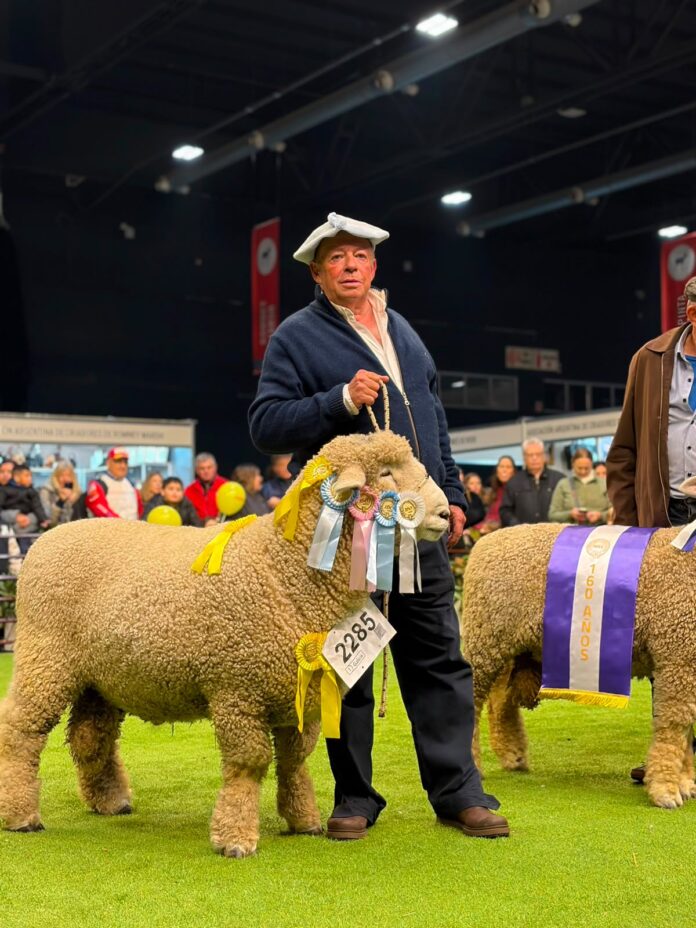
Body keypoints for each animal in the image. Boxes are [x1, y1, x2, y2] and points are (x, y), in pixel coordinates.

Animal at [0, 430, 449, 857]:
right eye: (386, 472)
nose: (446, 513)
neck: (283, 567)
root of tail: (45, 539)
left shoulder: (297, 688)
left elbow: (295, 759)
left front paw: (303, 820)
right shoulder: (237, 688)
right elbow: (250, 762)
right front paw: (235, 837)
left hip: (101, 677)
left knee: (90, 736)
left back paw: (111, 801)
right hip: (45, 656)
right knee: (20, 729)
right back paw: (20, 814)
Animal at [460, 522, 696, 810]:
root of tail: (484, 542)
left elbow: (687, 728)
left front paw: (685, 783)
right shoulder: (677, 654)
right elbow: (675, 726)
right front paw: (666, 790)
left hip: (516, 648)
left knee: (501, 702)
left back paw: (513, 755)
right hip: (484, 640)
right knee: (470, 704)